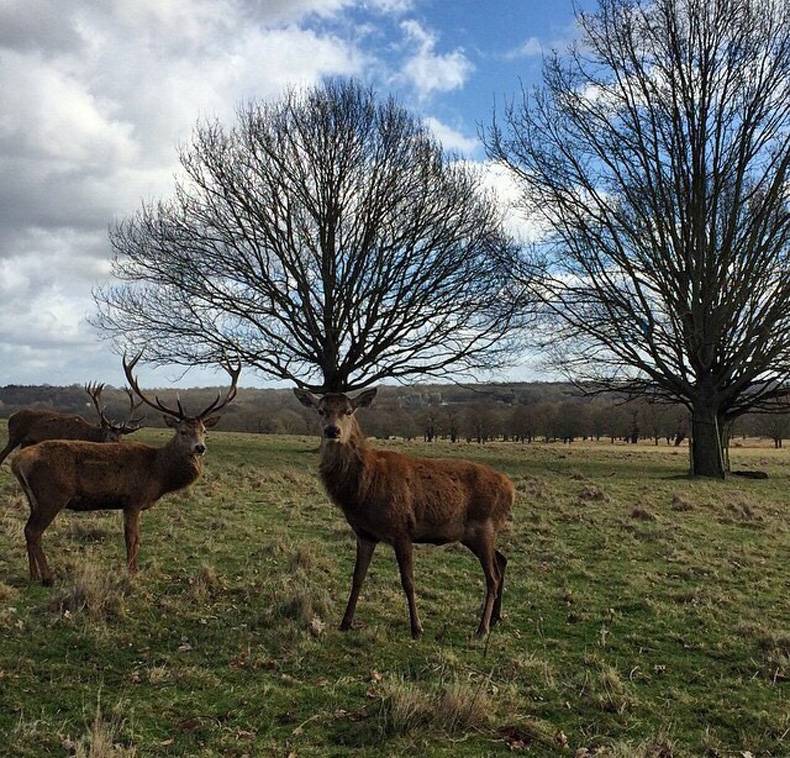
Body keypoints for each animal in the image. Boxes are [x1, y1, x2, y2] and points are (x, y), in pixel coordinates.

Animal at [0, 382, 145, 466]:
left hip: (27, 441)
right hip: (15, 436)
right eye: (110, 436)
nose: (120, 450)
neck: (86, 435)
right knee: (3, 454)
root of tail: (11, 416)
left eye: (121, 437)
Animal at [294, 386, 516, 640]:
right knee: (502, 560)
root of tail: (511, 489)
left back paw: (482, 629)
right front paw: (345, 622)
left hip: (484, 526)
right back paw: (496, 618)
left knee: (492, 576)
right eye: (321, 410)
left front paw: (417, 628)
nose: (332, 430)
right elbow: (357, 577)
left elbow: (408, 580)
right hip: (474, 534)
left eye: (348, 411)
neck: (364, 488)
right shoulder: (365, 534)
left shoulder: (402, 529)